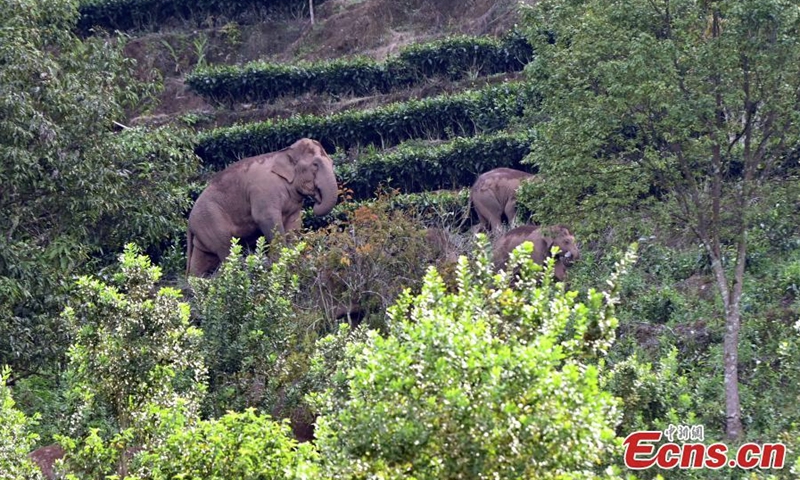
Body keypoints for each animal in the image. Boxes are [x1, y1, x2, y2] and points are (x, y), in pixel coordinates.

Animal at [187, 138, 338, 277]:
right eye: (315, 164)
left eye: (332, 163)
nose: (317, 200)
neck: (284, 152)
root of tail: (189, 222)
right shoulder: (264, 191)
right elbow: (266, 219)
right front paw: (279, 262)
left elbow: (294, 223)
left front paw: (293, 258)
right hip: (210, 219)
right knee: (225, 246)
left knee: (203, 258)